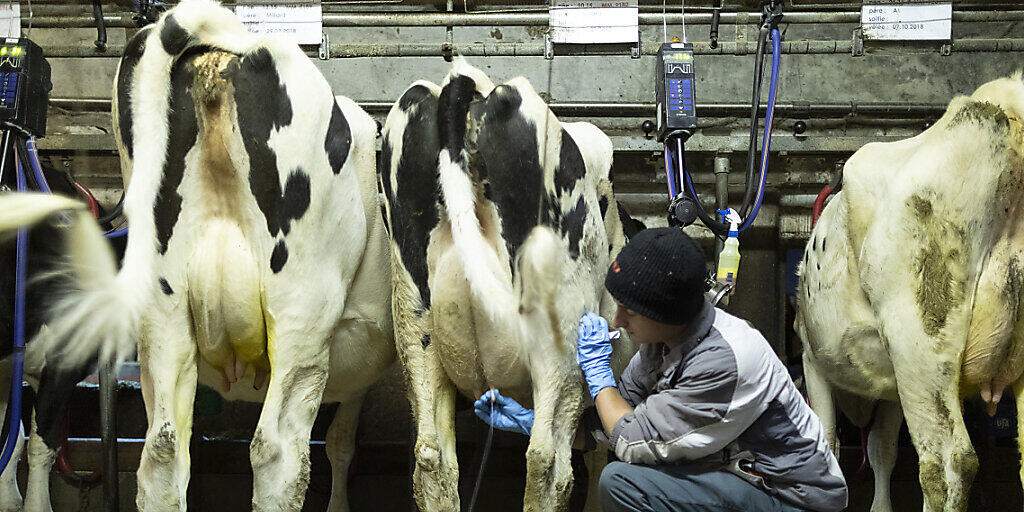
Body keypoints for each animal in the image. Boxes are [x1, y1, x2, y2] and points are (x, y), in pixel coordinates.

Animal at [798, 73, 1024, 512]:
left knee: (948, 462)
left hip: (918, 335)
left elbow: (829, 441)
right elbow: (882, 448)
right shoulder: (890, 389)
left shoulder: (812, 360)